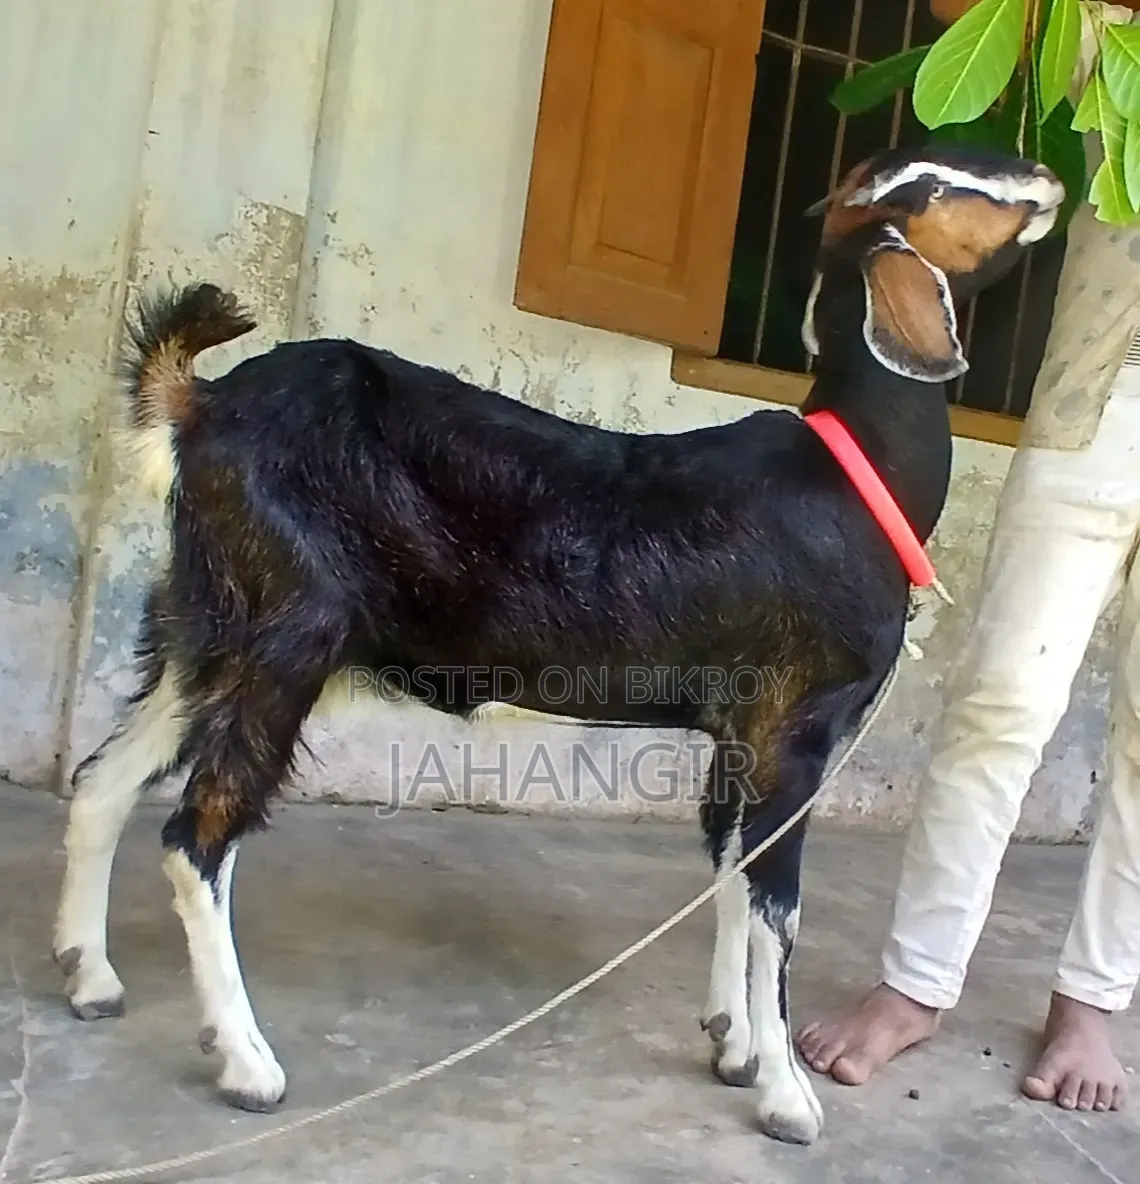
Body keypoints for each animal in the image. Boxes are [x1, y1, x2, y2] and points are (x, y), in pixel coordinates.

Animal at [52, 144, 1063, 1144]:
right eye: (939, 186)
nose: (1051, 181)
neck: (856, 474)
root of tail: (200, 402)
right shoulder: (798, 729)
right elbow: (778, 908)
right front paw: (787, 1096)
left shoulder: (738, 732)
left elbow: (730, 870)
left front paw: (731, 1045)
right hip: (287, 636)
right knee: (197, 835)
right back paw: (248, 1063)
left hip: (204, 628)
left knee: (102, 779)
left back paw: (89, 976)